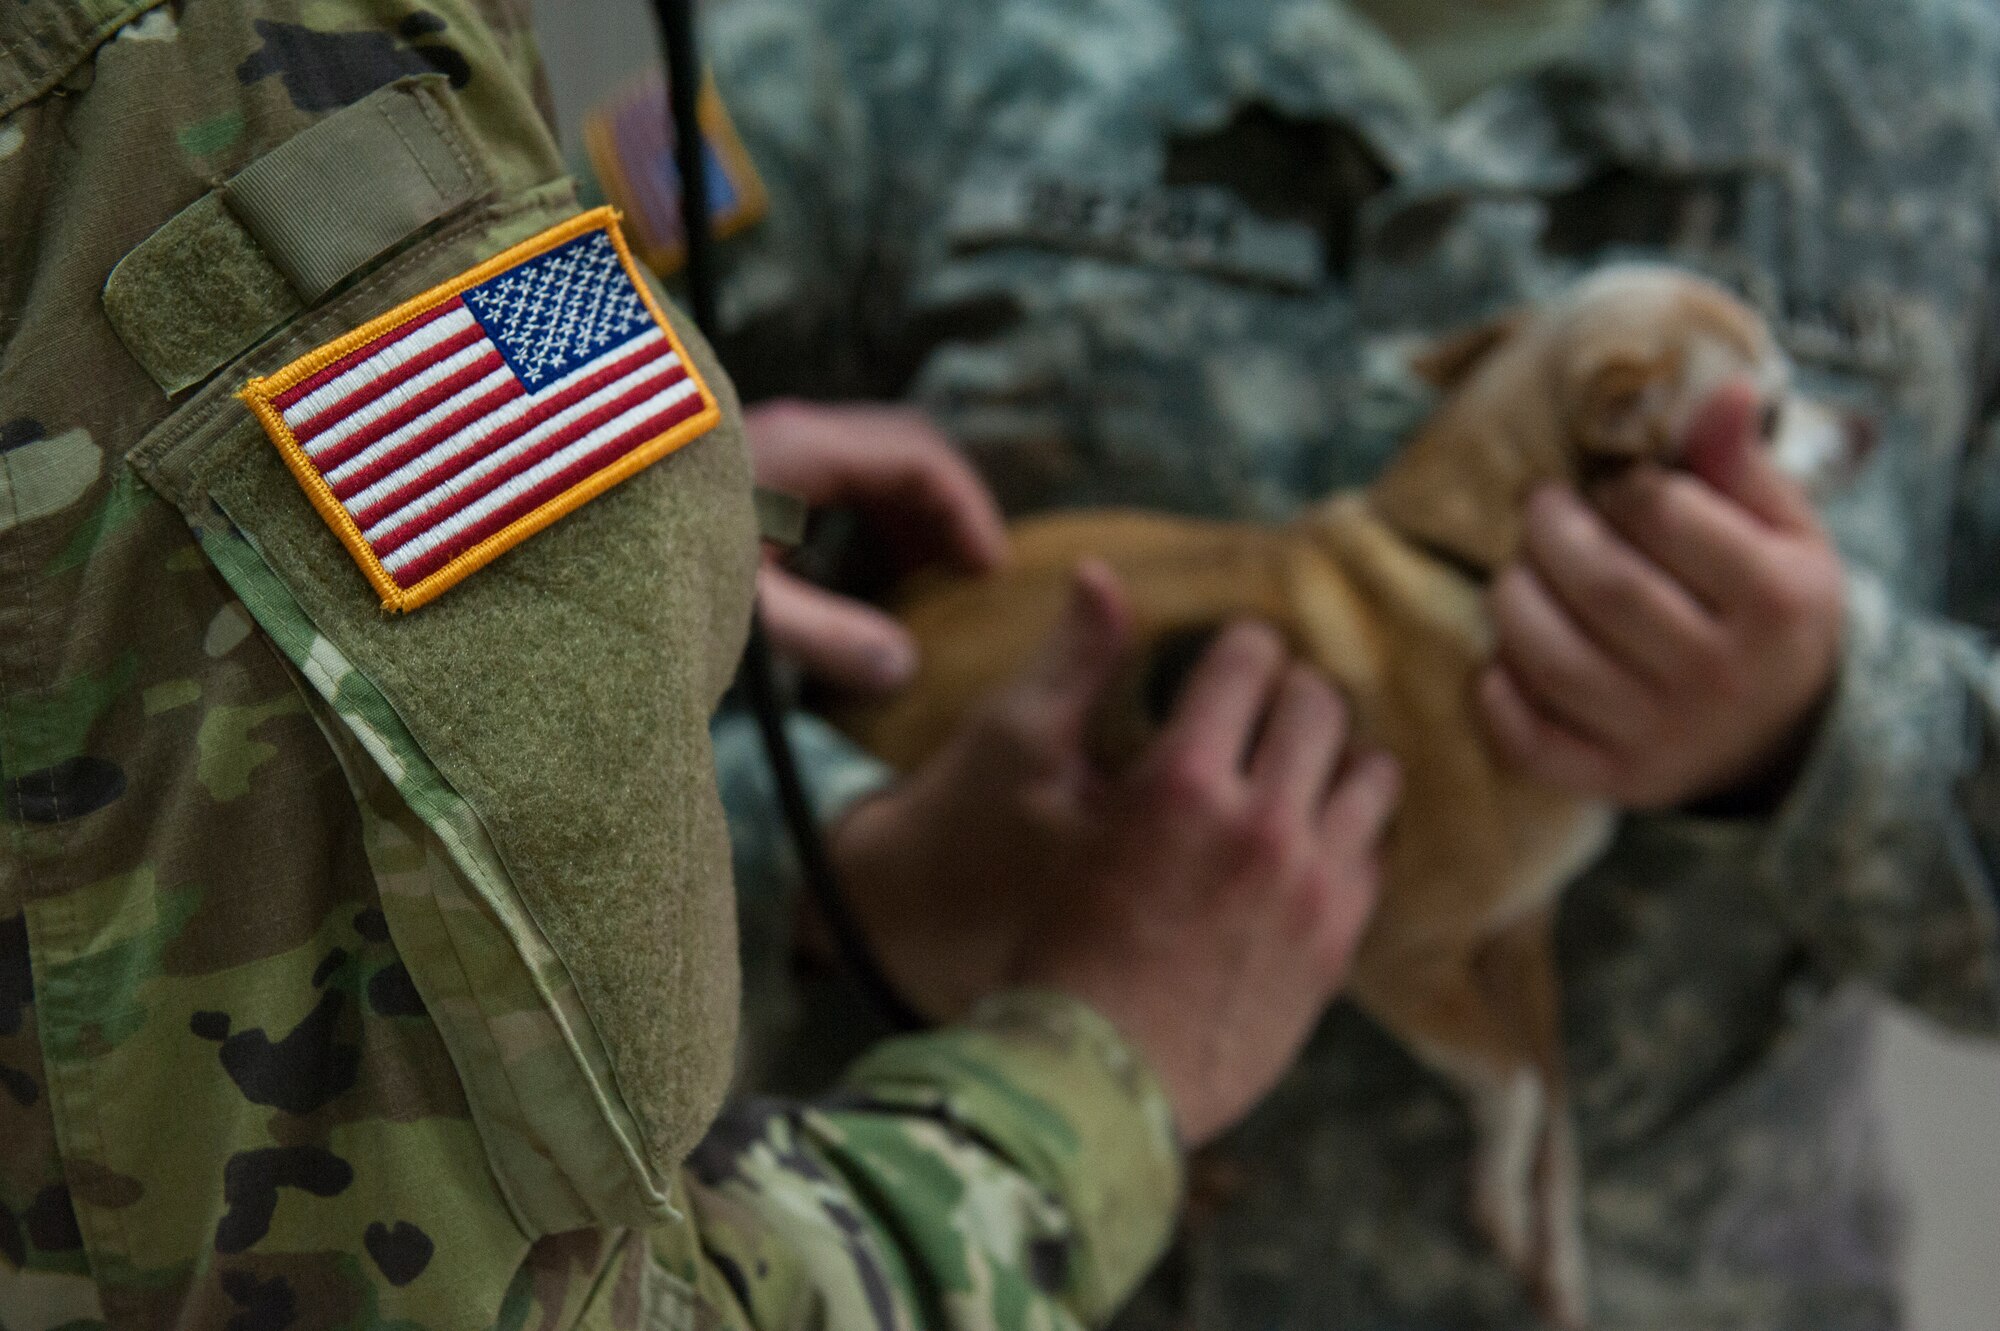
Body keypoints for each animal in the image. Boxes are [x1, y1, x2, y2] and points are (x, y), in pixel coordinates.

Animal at [840, 263, 1856, 1319]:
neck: (1473, 566)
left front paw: (1555, 1248)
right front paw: (1499, 1198)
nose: (1863, 427)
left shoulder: (1521, 934)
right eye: (1769, 416)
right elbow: (1516, 1085)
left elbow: (1557, 1102)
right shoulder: (1401, 959)